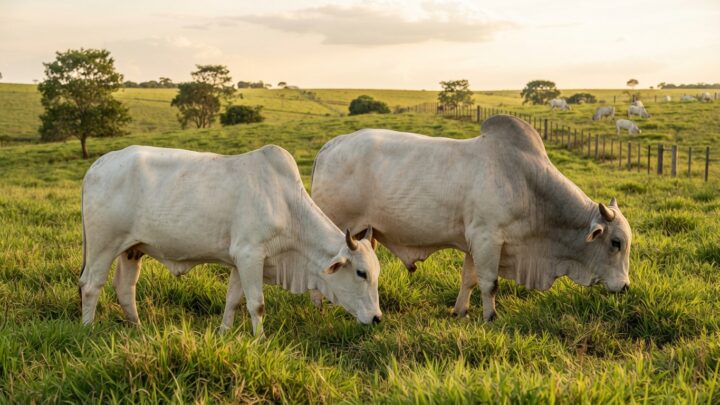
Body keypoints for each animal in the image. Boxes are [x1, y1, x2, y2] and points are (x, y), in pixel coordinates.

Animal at [79, 145, 382, 336]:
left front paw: (224, 332)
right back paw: (88, 328)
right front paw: (260, 340)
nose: (377, 317)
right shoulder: (251, 255)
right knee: (91, 285)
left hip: (131, 249)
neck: (286, 205)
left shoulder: (240, 261)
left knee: (125, 288)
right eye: (361, 272)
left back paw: (138, 328)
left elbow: (233, 300)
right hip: (102, 247)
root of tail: (98, 164)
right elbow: (256, 304)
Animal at [311, 115, 632, 322]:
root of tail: (332, 145)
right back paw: (319, 308)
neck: (528, 185)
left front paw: (460, 312)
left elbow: (469, 280)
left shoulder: (473, 244)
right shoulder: (487, 238)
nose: (626, 287)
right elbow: (489, 283)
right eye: (615, 242)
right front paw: (490, 317)